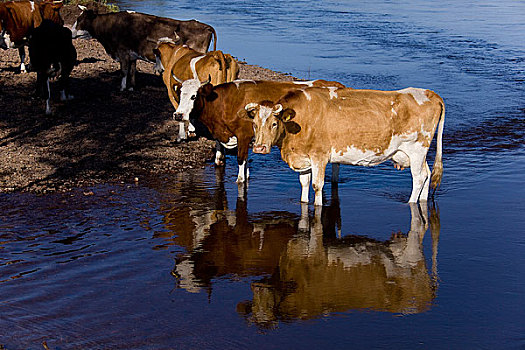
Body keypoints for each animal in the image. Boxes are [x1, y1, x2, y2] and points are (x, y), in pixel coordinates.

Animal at [70, 7, 216, 91]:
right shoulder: (132, 55)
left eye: (80, 20)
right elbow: (132, 71)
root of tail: (206, 26)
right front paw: (132, 87)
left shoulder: (122, 52)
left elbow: (123, 71)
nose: (70, 32)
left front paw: (122, 88)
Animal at [172, 79, 346, 183]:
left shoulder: (243, 135)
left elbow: (241, 160)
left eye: (194, 96)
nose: (178, 114)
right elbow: (220, 159)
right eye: (180, 94)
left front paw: (240, 180)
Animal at [244, 87, 444, 205]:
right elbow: (304, 183)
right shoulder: (302, 157)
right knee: (427, 174)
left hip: (417, 149)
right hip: (416, 153)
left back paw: (411, 202)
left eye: (274, 124)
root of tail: (429, 93)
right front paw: (304, 202)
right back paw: (423, 200)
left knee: (419, 177)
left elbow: (317, 185)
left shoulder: (319, 156)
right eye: (254, 124)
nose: (259, 148)